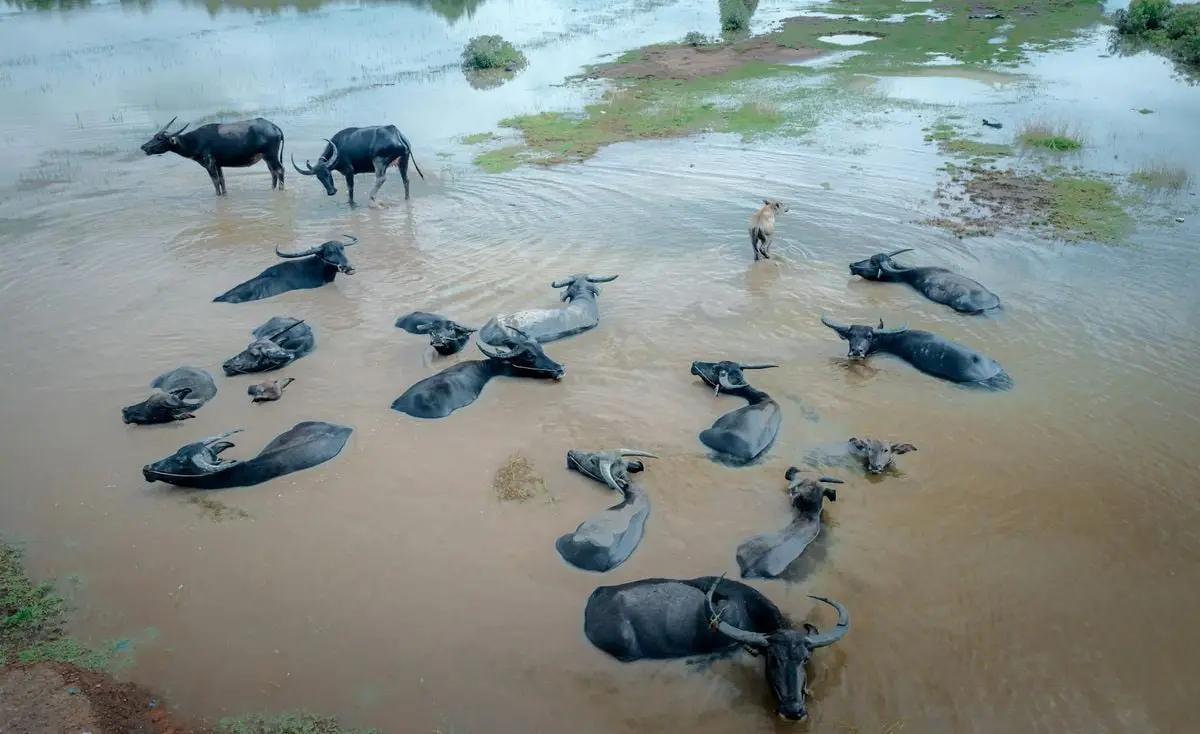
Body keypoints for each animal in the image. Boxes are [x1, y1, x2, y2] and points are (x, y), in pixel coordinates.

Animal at [139, 116, 286, 196]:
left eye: (159, 138)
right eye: (154, 136)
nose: (143, 147)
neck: (194, 141)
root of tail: (275, 127)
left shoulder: (208, 164)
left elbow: (215, 182)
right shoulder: (218, 164)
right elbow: (222, 180)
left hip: (271, 155)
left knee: (280, 170)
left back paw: (280, 189)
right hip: (267, 158)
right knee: (273, 172)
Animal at [291, 125, 425, 206]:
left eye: (328, 173)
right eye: (319, 177)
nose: (331, 192)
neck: (338, 148)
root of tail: (398, 134)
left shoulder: (349, 171)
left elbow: (350, 188)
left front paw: (351, 203)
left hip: (379, 160)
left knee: (381, 178)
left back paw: (372, 197)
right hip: (403, 160)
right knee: (406, 179)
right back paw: (406, 198)